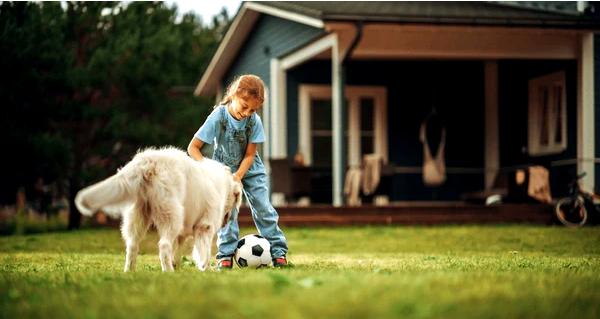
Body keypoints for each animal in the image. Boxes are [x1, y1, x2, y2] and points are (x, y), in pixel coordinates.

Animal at [75, 148, 241, 272]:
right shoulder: (205, 226)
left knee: (132, 245)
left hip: (138, 216)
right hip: (172, 216)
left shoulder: (183, 232)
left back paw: (130, 271)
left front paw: (179, 266)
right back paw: (168, 271)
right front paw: (205, 268)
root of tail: (149, 162)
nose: (227, 220)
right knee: (164, 245)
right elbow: (203, 251)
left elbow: (178, 250)